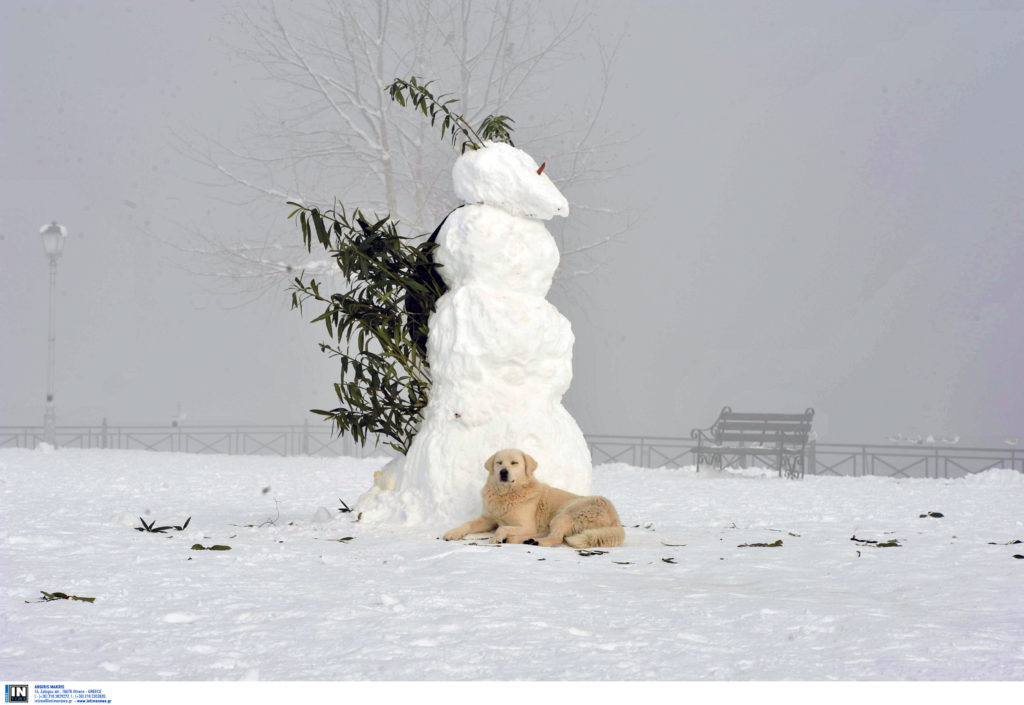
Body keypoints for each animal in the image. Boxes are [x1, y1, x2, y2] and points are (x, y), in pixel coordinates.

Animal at [442, 448, 622, 549]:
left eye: (514, 463)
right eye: (499, 462)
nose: (503, 472)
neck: (507, 495)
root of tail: (616, 520)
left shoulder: (526, 525)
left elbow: (502, 528)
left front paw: (497, 537)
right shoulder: (488, 519)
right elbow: (467, 524)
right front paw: (452, 533)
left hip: (564, 514)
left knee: (556, 536)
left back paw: (532, 541)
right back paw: (525, 540)